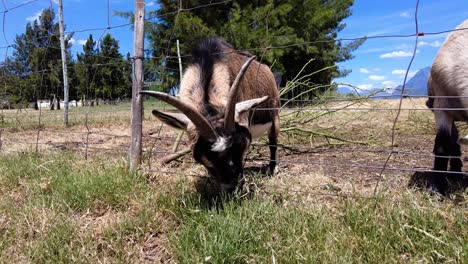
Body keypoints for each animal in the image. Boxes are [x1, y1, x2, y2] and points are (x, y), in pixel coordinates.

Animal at [141, 37, 280, 193]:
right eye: (206, 157)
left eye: (242, 146)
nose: (233, 188)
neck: (209, 59)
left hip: (275, 115)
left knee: (273, 142)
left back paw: (272, 168)